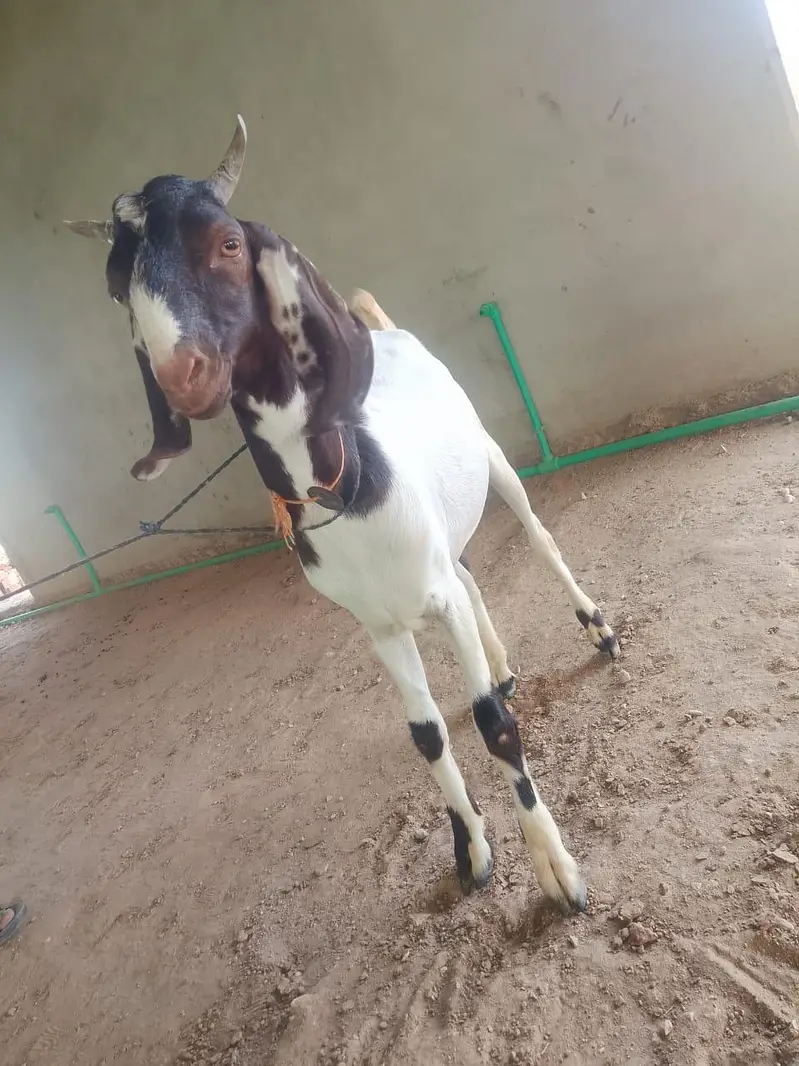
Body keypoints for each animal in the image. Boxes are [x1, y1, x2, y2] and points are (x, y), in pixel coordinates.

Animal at [67, 116, 619, 912]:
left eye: (228, 242)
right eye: (118, 285)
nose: (182, 375)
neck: (348, 483)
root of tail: (381, 328)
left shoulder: (431, 592)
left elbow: (492, 724)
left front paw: (555, 868)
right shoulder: (378, 626)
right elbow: (426, 733)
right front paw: (471, 848)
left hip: (490, 457)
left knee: (539, 538)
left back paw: (597, 630)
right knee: (470, 576)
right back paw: (501, 664)